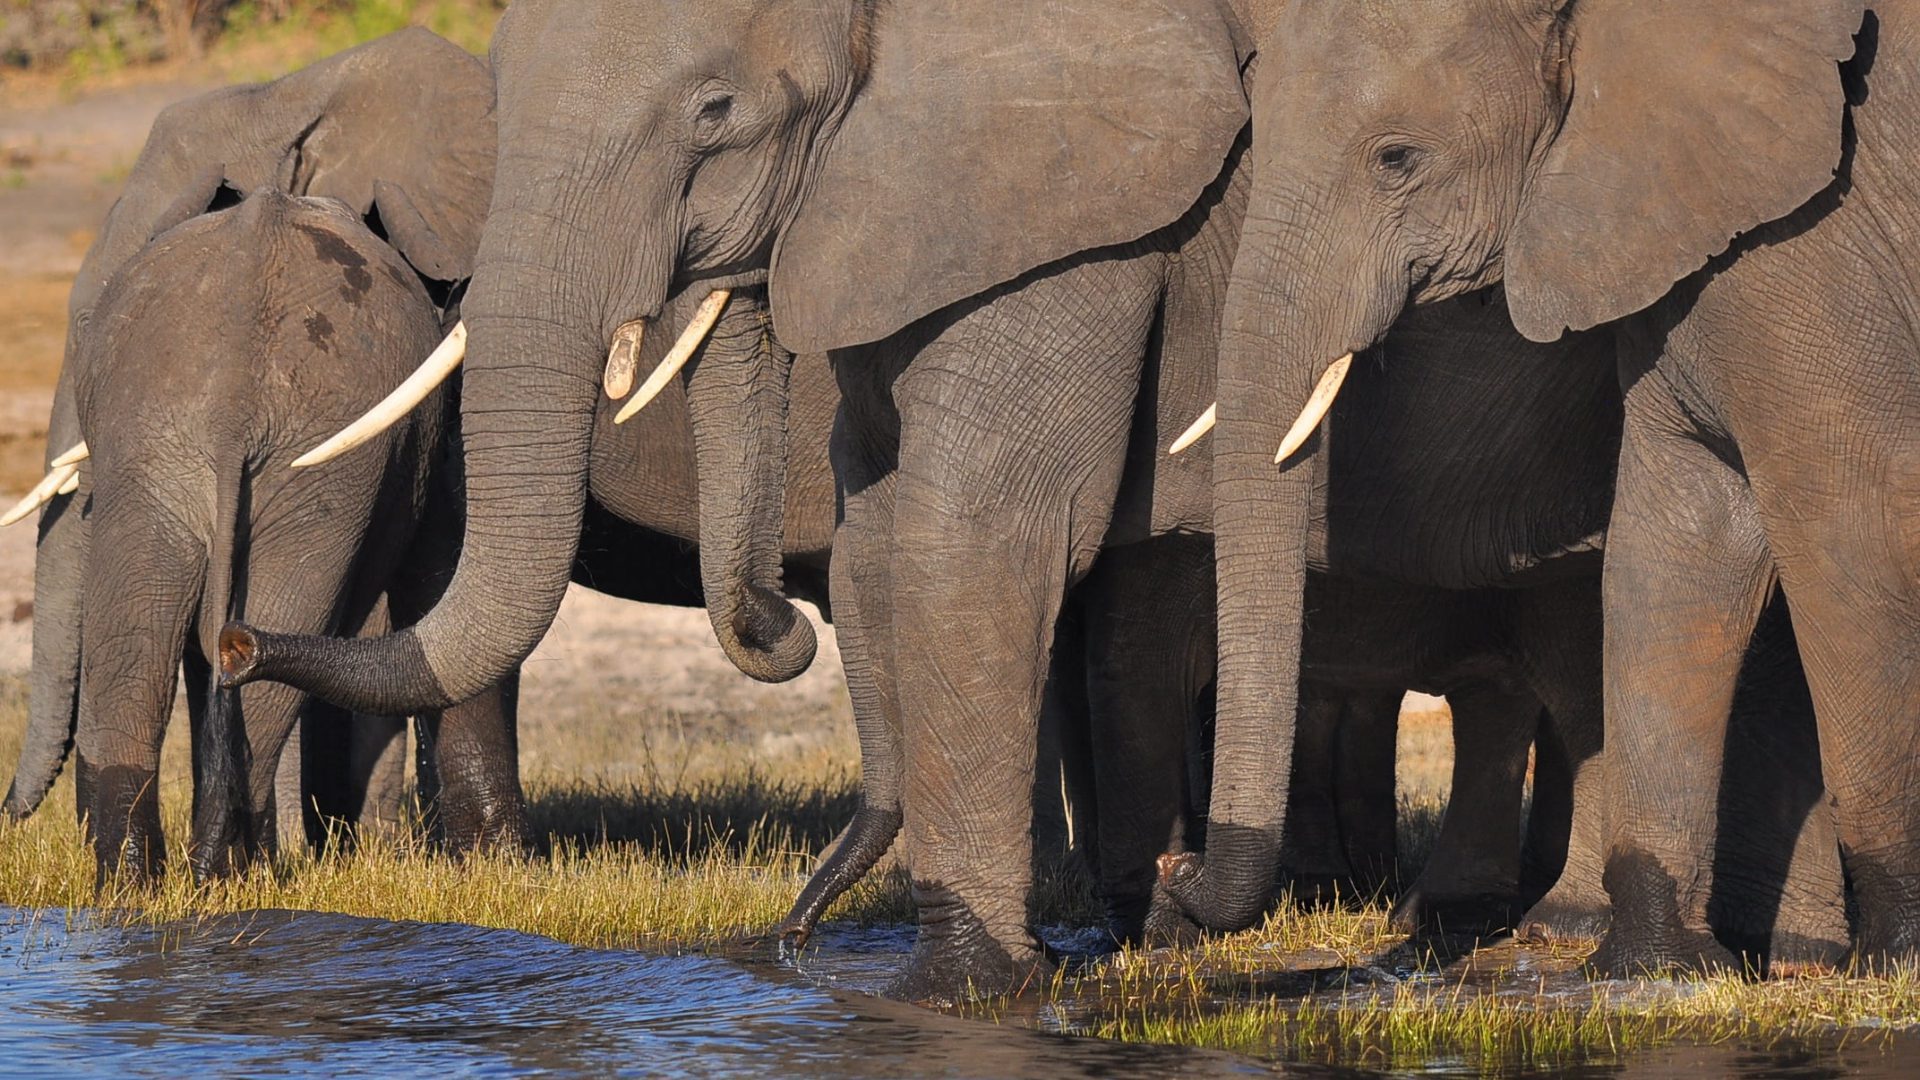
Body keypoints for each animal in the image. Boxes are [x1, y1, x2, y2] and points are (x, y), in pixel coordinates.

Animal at [1159, 2, 1912, 976]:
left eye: (1396, 158)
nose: (1176, 871)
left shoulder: (1818, 237)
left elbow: (1850, 538)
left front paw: (1893, 959)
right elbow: (1674, 544)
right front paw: (1650, 967)